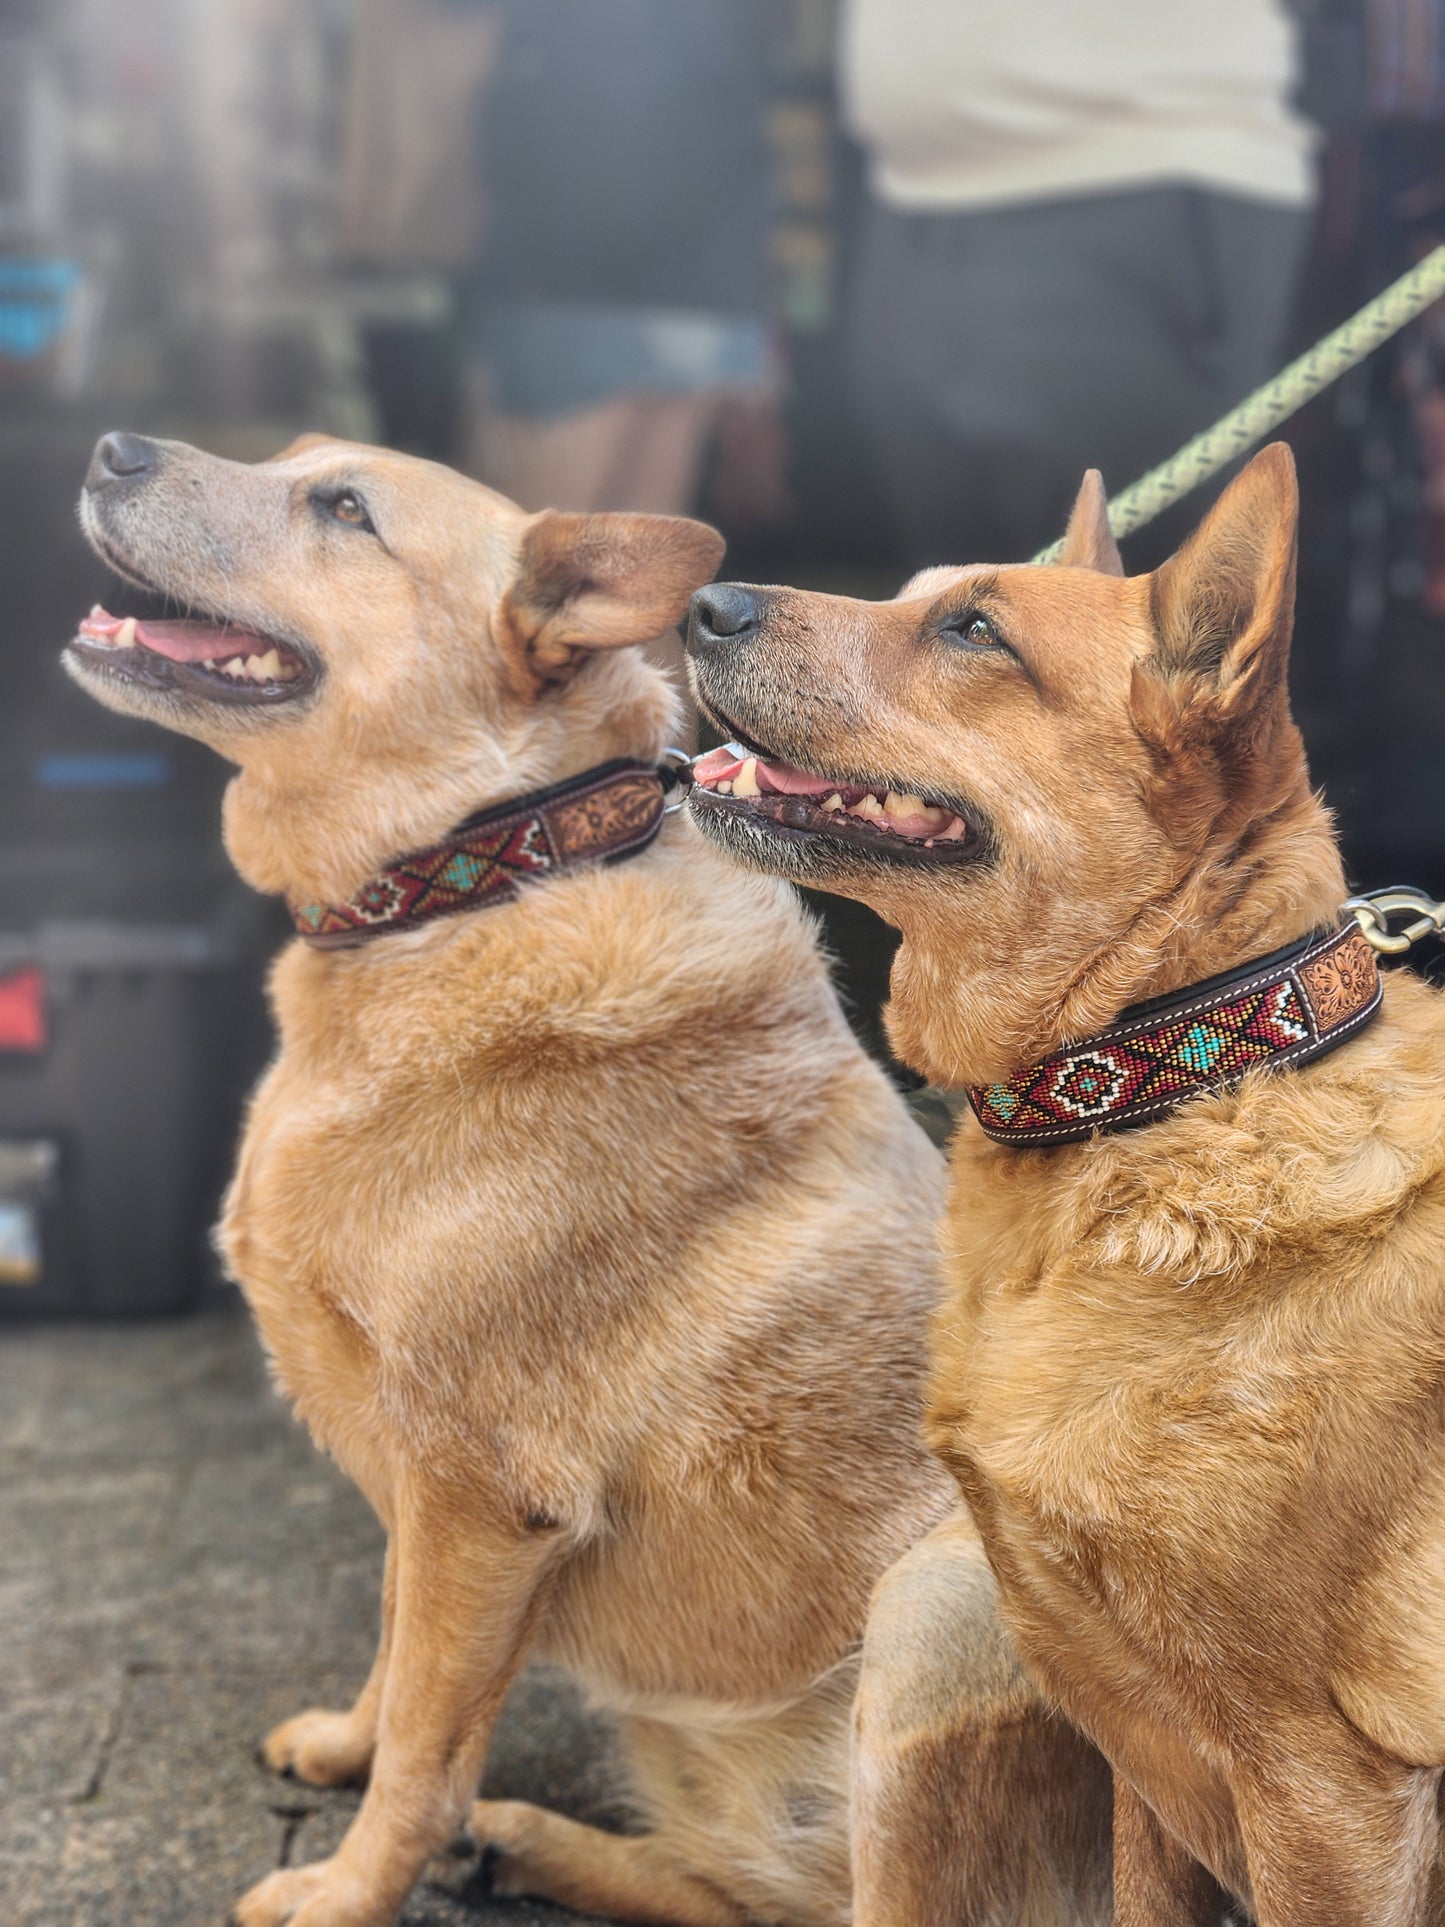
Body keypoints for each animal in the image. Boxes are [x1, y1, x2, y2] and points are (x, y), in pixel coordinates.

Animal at [65, 433, 1109, 1927]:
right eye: (294, 464)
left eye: (342, 508)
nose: (112, 446)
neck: (480, 874)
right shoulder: (417, 1488)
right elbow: (393, 1656)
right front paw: (344, 1751)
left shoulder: (481, 1493)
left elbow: (426, 1739)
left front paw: (344, 1889)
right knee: (746, 1896)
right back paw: (526, 1844)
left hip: (937, 1614)